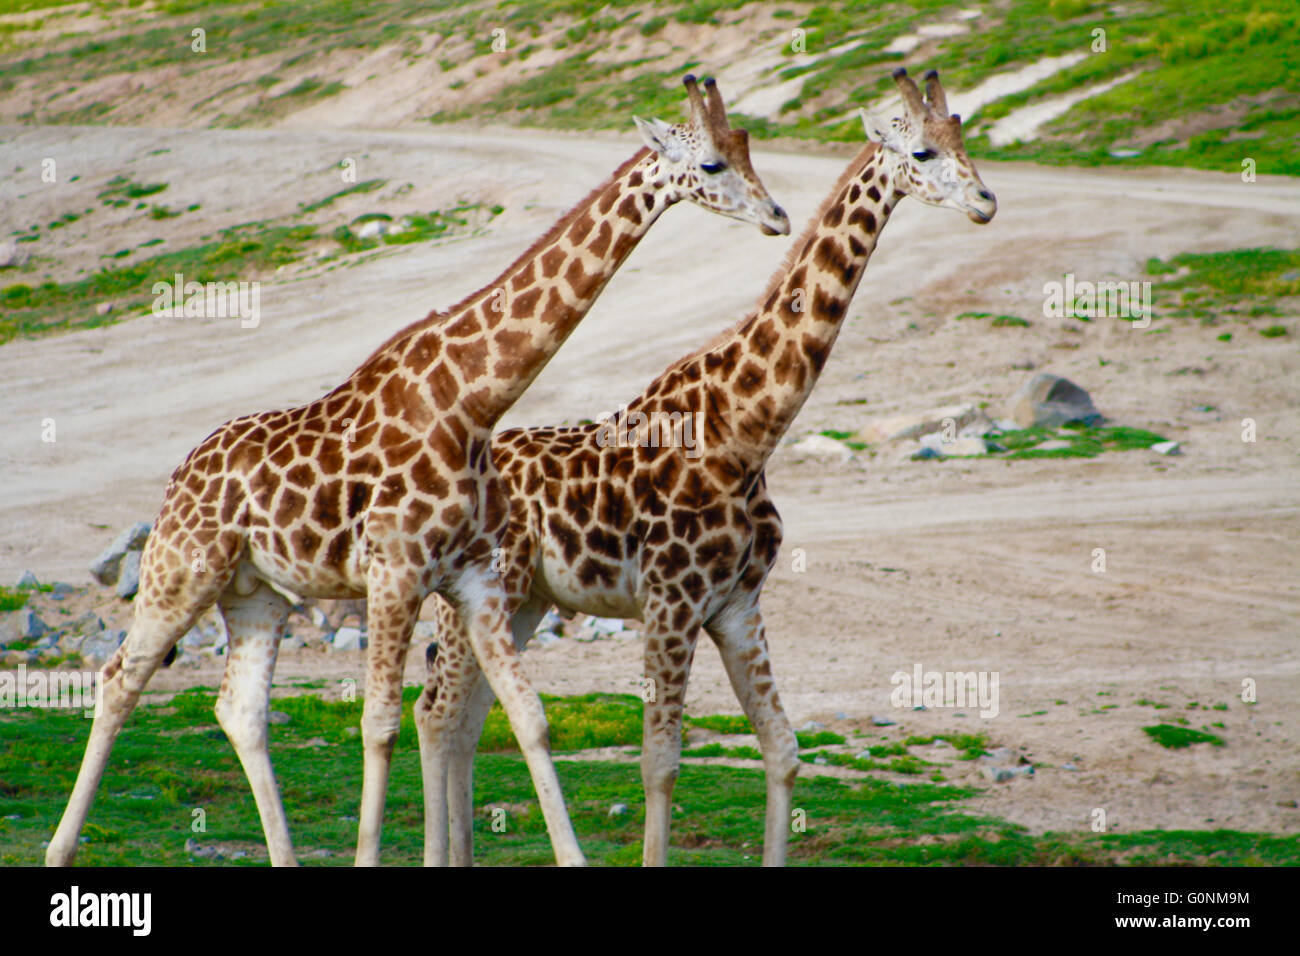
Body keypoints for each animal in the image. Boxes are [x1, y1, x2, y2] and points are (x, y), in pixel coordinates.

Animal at [45, 74, 785, 868]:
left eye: (749, 149)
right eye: (711, 163)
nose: (777, 215)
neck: (472, 400)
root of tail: (178, 478)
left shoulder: (475, 576)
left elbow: (528, 717)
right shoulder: (393, 571)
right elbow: (380, 725)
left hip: (258, 594)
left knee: (239, 709)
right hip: (184, 569)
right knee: (119, 679)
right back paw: (60, 851)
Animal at [416, 69, 993, 868]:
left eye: (963, 137)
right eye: (922, 151)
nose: (986, 202)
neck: (747, 432)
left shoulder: (738, 605)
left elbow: (783, 750)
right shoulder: (671, 602)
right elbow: (659, 765)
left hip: (524, 599)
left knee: (463, 716)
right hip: (480, 594)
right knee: (437, 712)